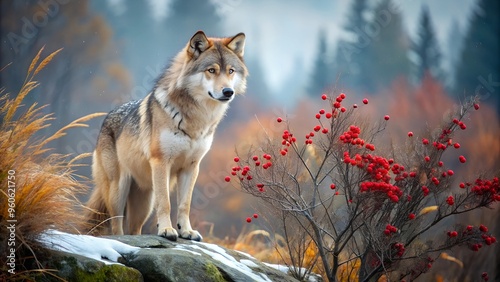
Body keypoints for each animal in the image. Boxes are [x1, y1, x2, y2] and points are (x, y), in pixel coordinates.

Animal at [87, 30, 249, 241]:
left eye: (230, 71)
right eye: (211, 70)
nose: (228, 91)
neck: (196, 120)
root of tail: (106, 117)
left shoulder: (191, 167)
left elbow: (184, 204)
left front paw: (186, 231)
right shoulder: (161, 162)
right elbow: (166, 202)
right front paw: (166, 230)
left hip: (144, 203)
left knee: (134, 229)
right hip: (118, 190)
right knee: (116, 227)